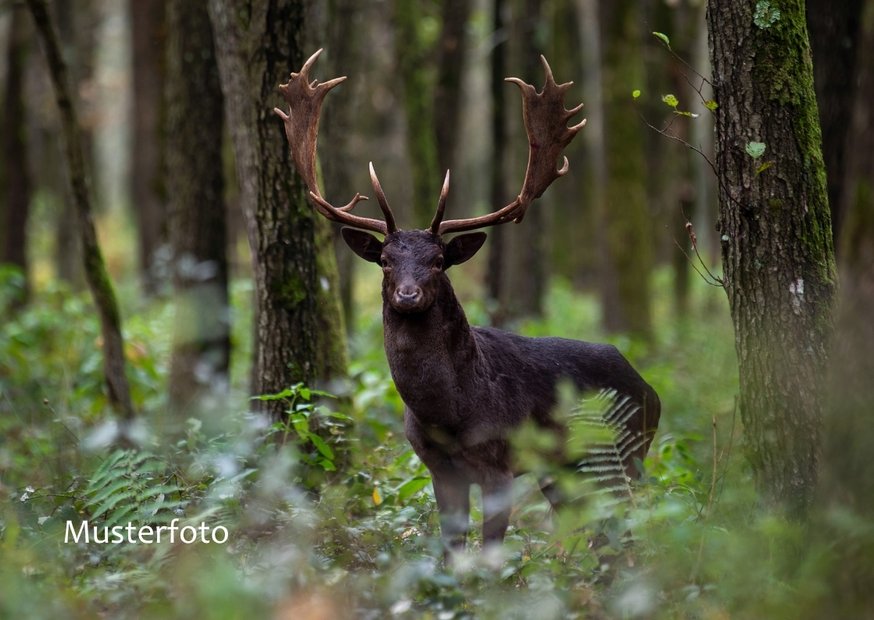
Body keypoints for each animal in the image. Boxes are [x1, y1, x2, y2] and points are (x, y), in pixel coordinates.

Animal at [274, 49, 660, 554]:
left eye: (439, 261)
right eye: (384, 261)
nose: (408, 295)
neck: (451, 413)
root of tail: (651, 388)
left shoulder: (500, 462)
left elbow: (491, 551)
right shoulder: (438, 467)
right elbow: (451, 546)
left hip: (626, 451)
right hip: (564, 470)